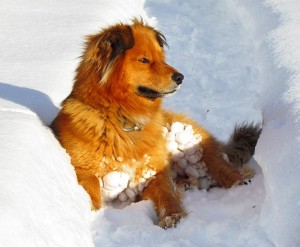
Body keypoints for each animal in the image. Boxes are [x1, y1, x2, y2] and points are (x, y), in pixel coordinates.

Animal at [50, 18, 262, 228]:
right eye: (144, 60)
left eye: (162, 58)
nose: (180, 77)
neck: (122, 120)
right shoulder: (84, 172)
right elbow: (91, 192)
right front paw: (91, 212)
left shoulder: (155, 171)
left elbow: (166, 194)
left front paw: (172, 215)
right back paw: (187, 184)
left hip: (198, 150)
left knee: (223, 169)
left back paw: (240, 183)